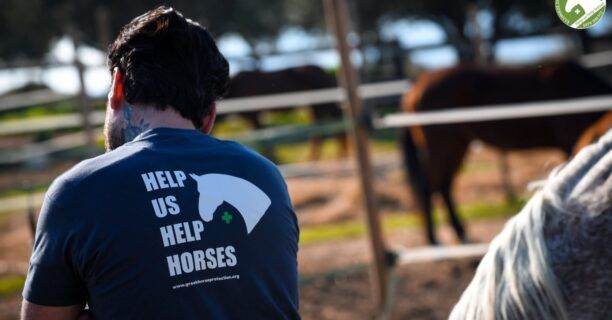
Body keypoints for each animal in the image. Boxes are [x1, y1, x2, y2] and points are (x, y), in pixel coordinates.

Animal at [402, 61, 612, 244]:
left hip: (457, 147)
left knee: (444, 186)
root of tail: (415, 88)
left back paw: (461, 233)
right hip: (442, 148)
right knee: (429, 187)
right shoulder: (570, 142)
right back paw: (434, 240)